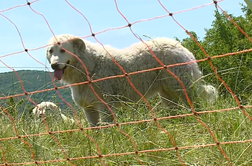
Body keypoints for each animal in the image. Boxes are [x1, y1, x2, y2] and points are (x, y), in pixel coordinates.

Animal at [46, 34, 218, 126]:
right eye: (50, 51)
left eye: (63, 50)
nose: (54, 65)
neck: (89, 65)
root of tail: (180, 46)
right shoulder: (90, 108)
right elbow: (95, 131)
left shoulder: (105, 105)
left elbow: (107, 127)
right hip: (168, 94)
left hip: (183, 88)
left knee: (196, 104)